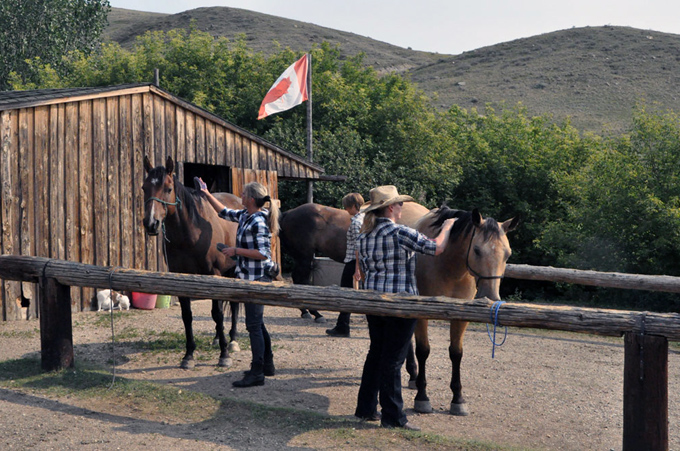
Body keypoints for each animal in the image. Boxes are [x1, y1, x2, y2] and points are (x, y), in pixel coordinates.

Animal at [141, 157, 242, 370]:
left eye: (168, 188)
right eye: (144, 187)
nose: (151, 223)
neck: (191, 232)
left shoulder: (214, 274)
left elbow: (217, 313)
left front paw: (224, 355)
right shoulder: (182, 278)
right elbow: (187, 316)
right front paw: (188, 355)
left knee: (234, 305)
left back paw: (232, 341)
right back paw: (216, 338)